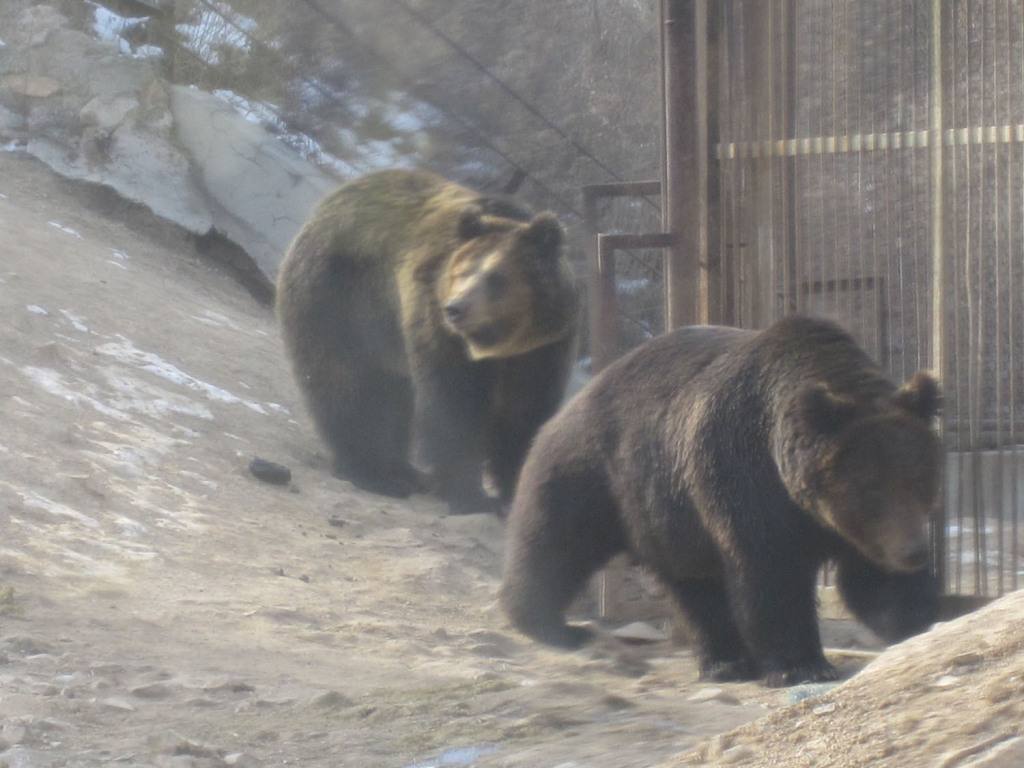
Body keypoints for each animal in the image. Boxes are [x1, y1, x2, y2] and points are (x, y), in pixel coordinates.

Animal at [276, 169, 578, 515]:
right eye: (463, 271)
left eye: (495, 277)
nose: (456, 308)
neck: (499, 342)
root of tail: (326, 205)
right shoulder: (438, 326)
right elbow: (454, 405)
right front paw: (469, 495)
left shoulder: (543, 350)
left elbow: (525, 416)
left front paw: (516, 490)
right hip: (340, 298)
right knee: (346, 382)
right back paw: (372, 472)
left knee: (393, 394)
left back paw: (403, 469)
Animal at [499, 315, 942, 687]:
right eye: (871, 488)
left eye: (920, 479)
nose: (914, 552)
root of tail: (570, 403)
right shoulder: (747, 479)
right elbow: (773, 574)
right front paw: (803, 665)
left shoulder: (855, 529)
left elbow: (873, 581)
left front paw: (920, 616)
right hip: (595, 478)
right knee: (555, 546)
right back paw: (552, 625)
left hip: (669, 517)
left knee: (695, 589)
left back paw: (725, 662)